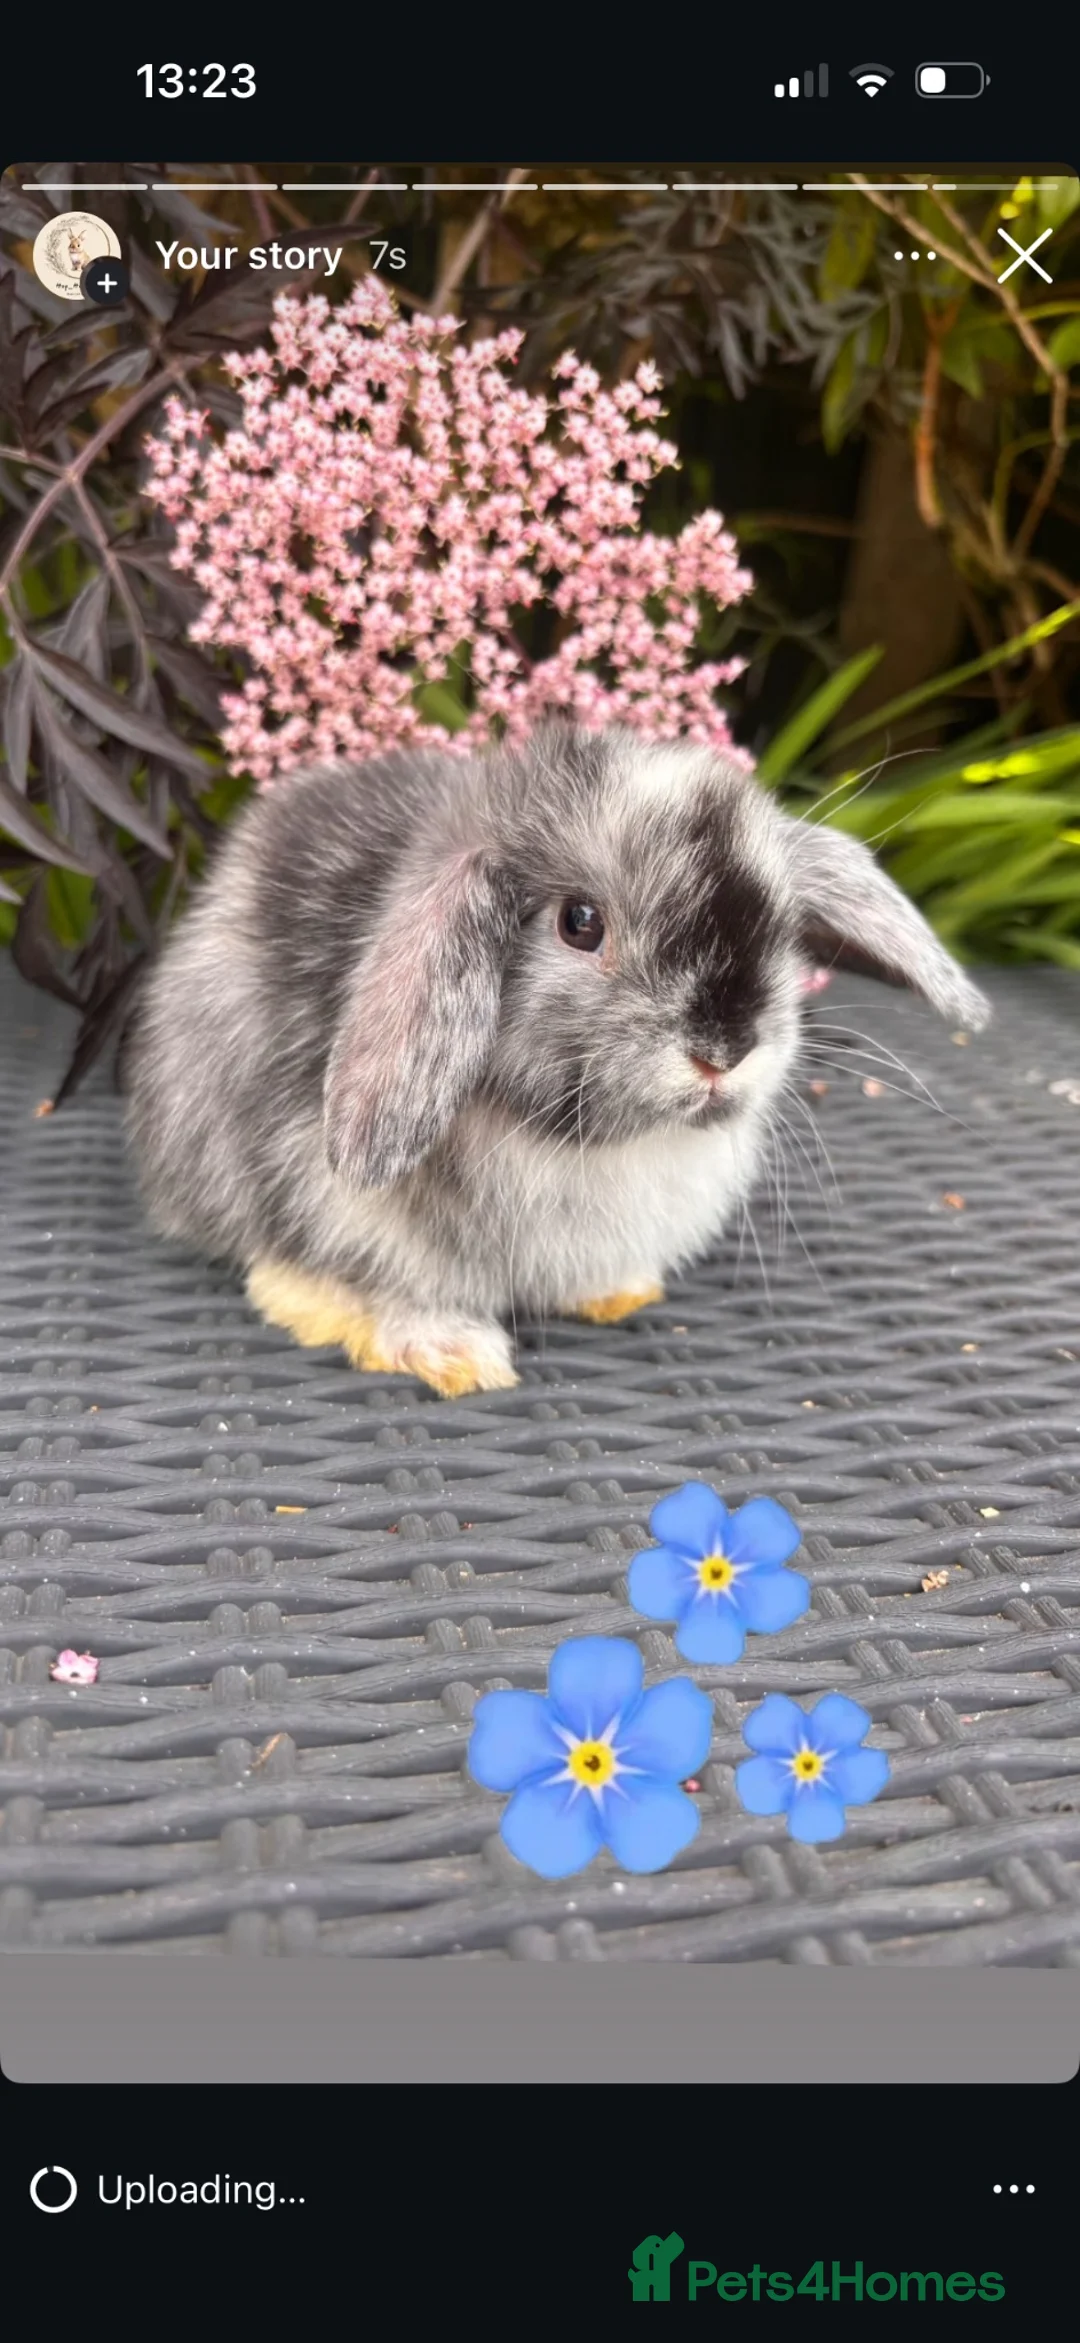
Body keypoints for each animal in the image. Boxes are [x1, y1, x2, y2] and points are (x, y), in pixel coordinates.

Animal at [122, 721, 991, 1397]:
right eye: (580, 922)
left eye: (780, 929)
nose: (725, 1050)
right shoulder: (324, 1196)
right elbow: (332, 1283)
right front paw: (454, 1354)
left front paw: (620, 1292)